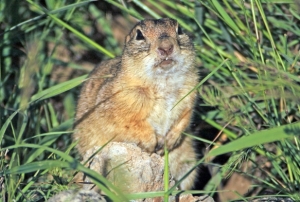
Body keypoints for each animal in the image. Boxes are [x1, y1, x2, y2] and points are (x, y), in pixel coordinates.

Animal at [73, 18, 199, 190]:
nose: (166, 47)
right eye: (139, 35)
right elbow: (131, 124)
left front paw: (169, 141)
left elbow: (184, 118)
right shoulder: (121, 100)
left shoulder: (189, 96)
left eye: (179, 30)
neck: (163, 81)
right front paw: (152, 143)